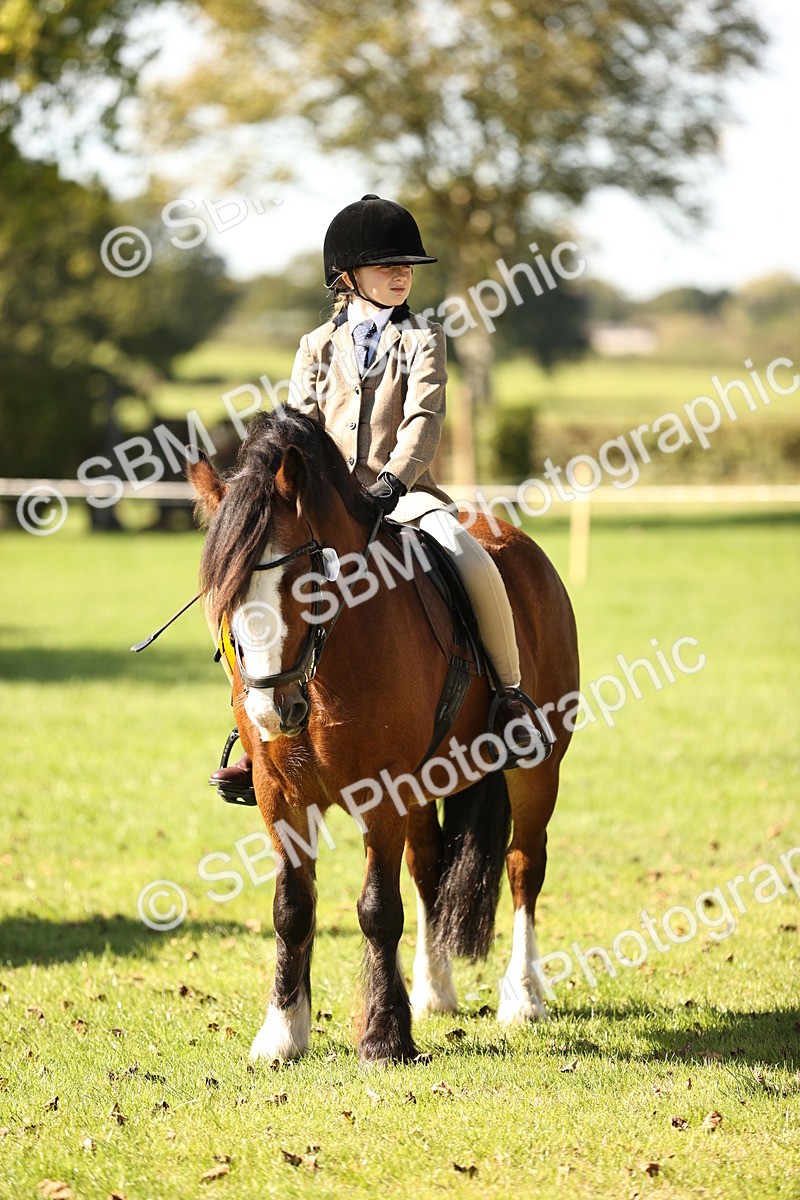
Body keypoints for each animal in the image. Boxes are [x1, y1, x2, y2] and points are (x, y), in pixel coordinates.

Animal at [188, 409, 579, 1064]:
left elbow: (376, 909)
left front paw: (384, 1037)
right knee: (428, 868)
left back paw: (523, 997)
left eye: (305, 579)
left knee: (525, 864)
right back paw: (434, 989)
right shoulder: (279, 794)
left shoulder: (382, 790)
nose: (271, 708)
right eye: (225, 593)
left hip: (534, 771)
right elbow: (292, 908)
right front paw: (283, 1033)